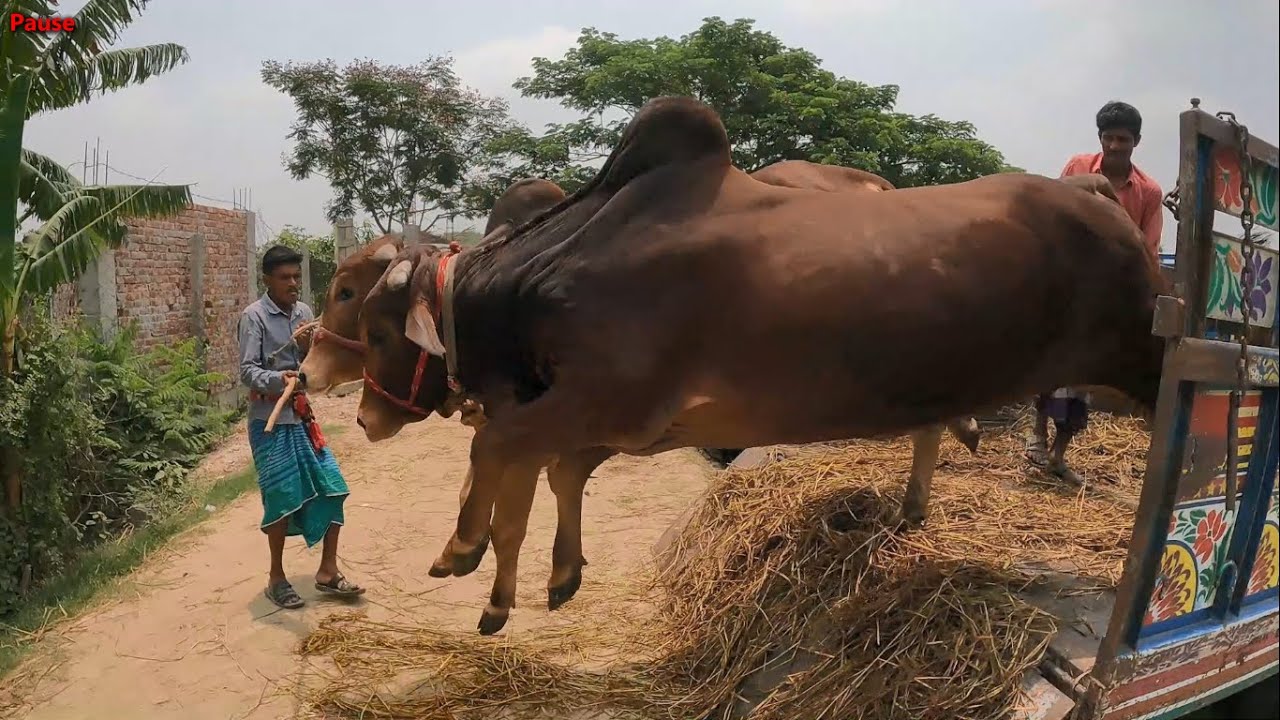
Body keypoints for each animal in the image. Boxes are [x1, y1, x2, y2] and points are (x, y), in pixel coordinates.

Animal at [354, 95, 1167, 634]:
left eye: (378, 329)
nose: (363, 418)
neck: (550, 267)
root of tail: (1095, 192)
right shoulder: (616, 425)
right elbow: (548, 475)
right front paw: (548, 576)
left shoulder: (606, 400)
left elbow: (498, 448)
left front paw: (462, 549)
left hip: (1147, 359)